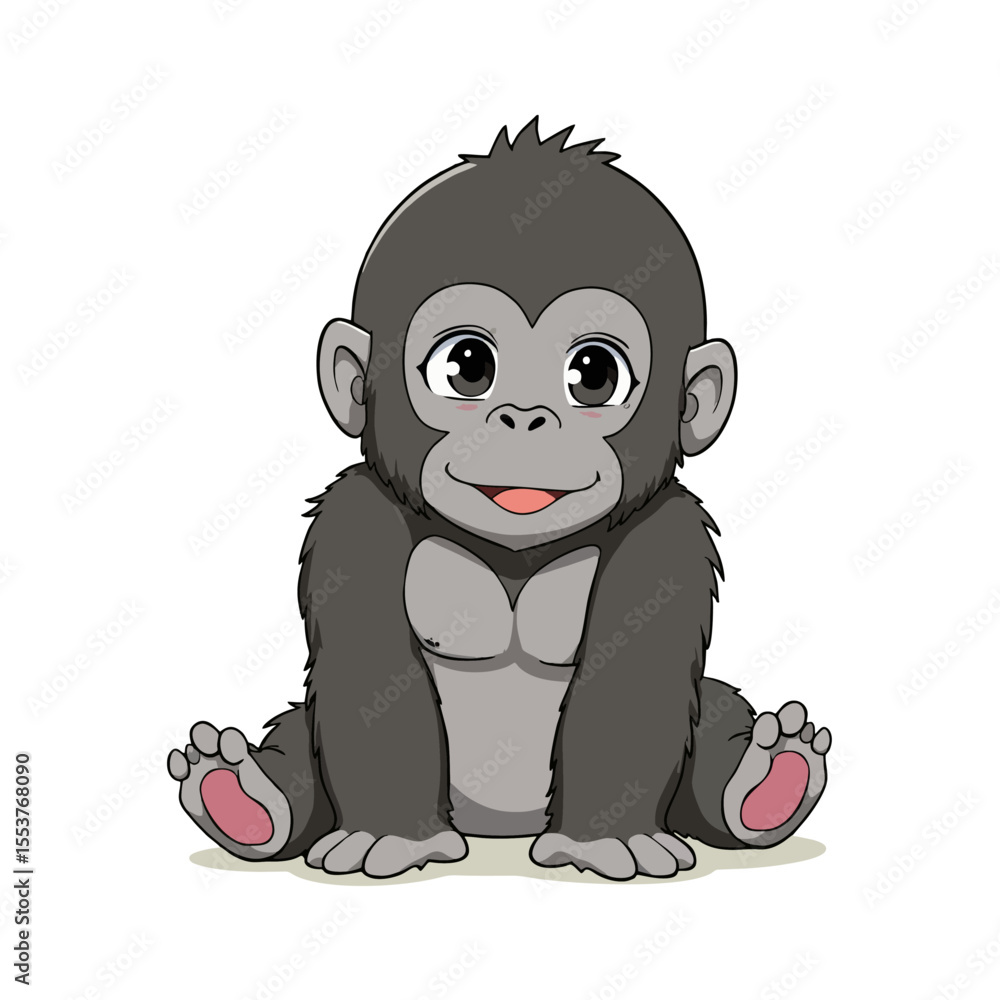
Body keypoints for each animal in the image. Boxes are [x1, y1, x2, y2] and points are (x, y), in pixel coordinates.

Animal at [169, 119, 831, 881]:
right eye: (466, 366)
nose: (523, 416)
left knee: (715, 708)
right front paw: (393, 837)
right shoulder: (353, 519)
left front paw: (604, 840)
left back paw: (763, 785)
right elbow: (369, 672)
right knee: (298, 729)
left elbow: (635, 680)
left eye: (594, 374)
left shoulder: (670, 531)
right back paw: (247, 797)